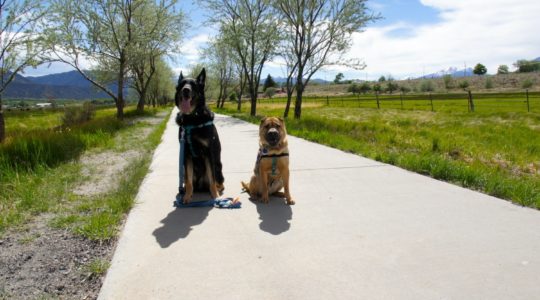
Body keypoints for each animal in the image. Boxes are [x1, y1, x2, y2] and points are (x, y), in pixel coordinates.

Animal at [174, 68, 223, 202]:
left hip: (218, 167)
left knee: (218, 181)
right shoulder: (186, 154)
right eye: (182, 85)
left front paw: (215, 196)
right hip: (185, 169)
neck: (192, 118)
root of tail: (201, 185)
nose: (186, 90)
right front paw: (186, 197)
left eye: (193, 85)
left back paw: (218, 190)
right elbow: (188, 181)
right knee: (189, 182)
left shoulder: (208, 152)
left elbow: (212, 179)